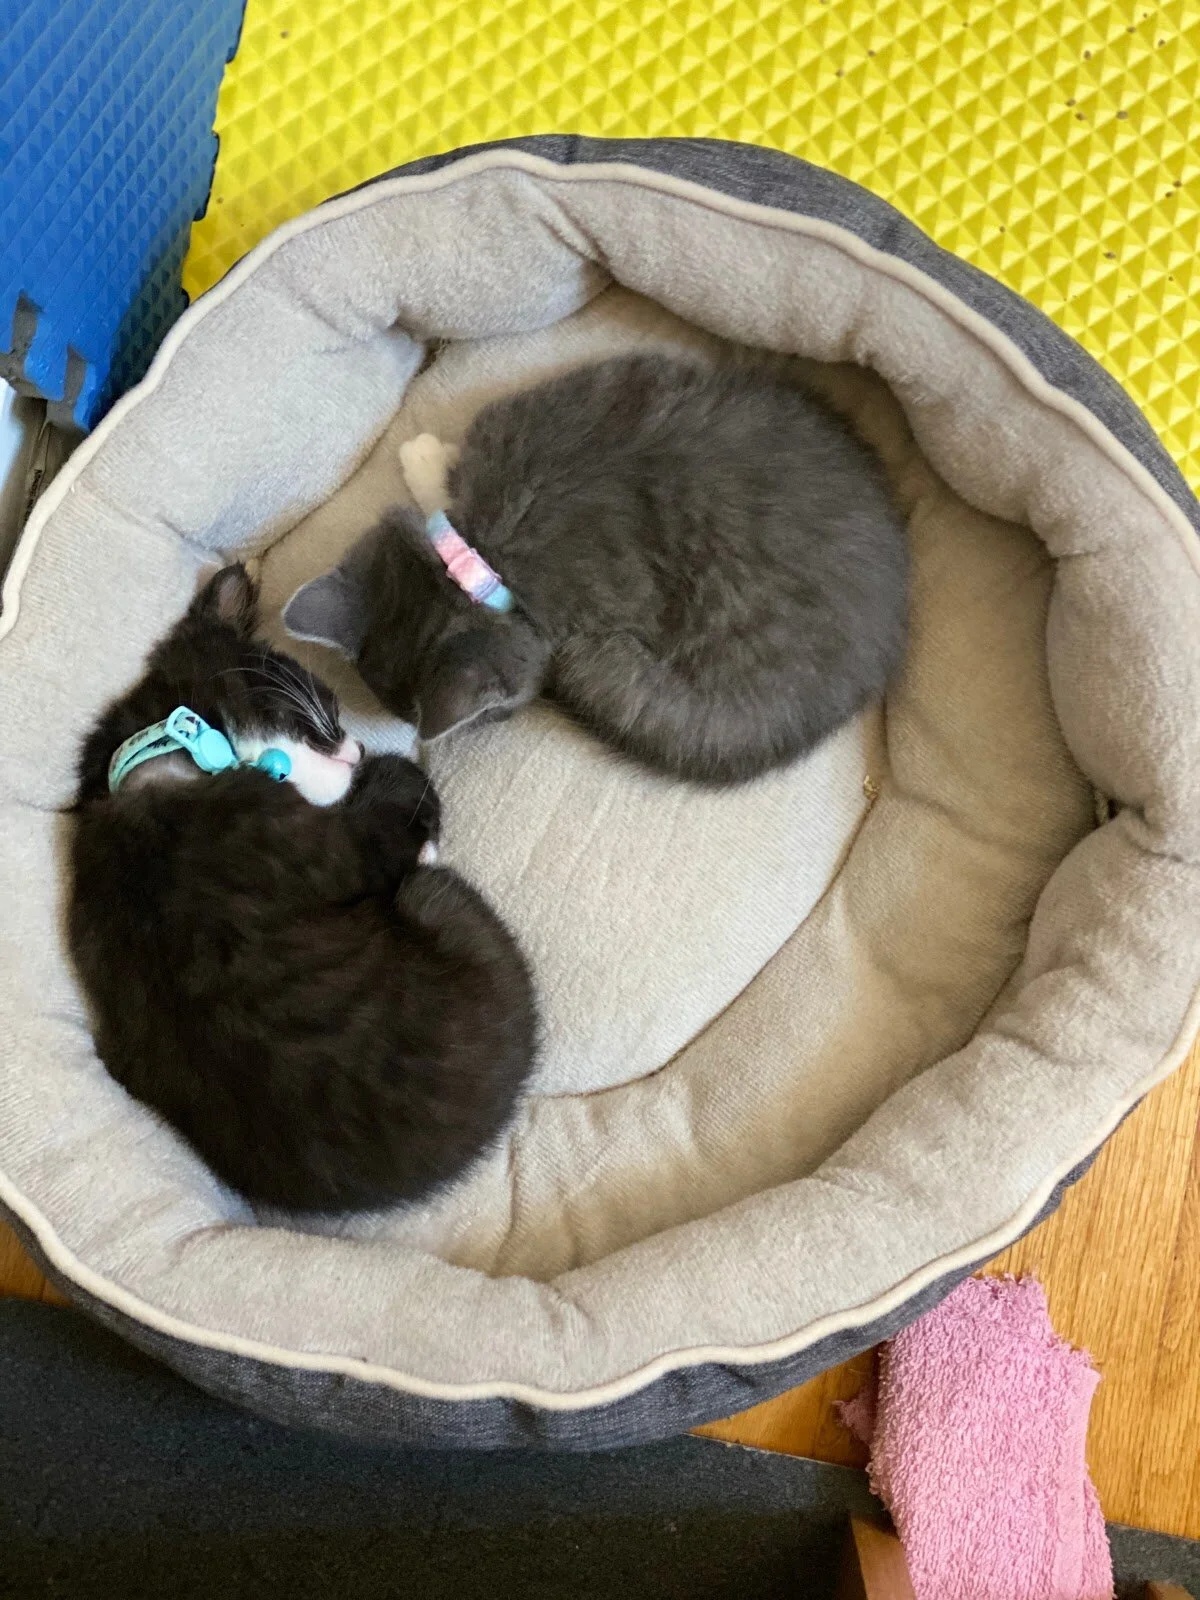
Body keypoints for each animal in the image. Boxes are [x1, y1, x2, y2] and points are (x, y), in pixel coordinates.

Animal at [68, 564, 536, 1214]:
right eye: (331, 711)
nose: (358, 747)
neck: (155, 759)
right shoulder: (306, 838)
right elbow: (386, 814)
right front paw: (399, 784)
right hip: (442, 904)